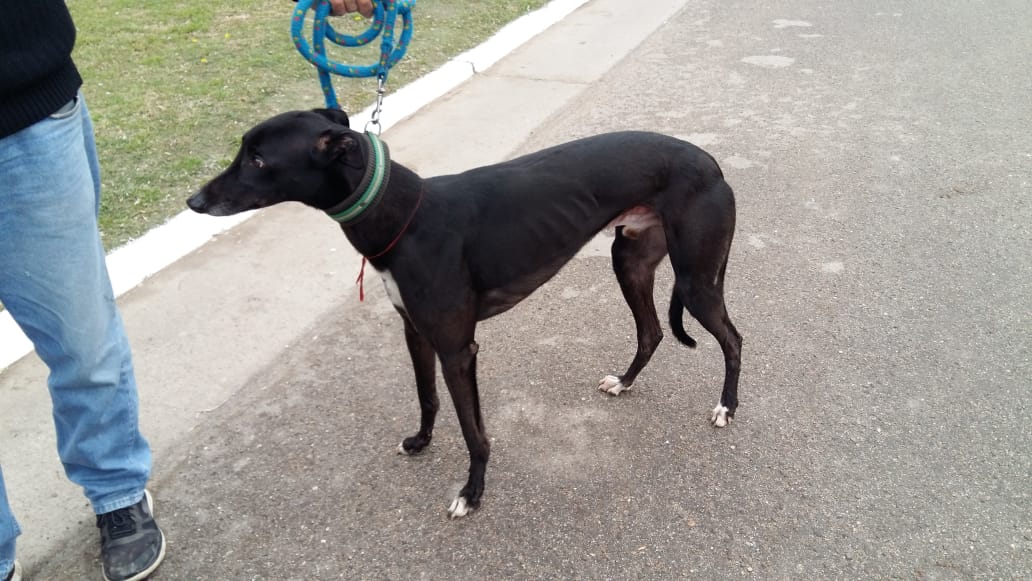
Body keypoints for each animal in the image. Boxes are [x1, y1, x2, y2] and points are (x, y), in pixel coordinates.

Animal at [189, 107, 743, 518]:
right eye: (245, 150)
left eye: (258, 160)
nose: (194, 201)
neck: (402, 214)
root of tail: (709, 161)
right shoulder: (415, 332)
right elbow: (427, 398)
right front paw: (420, 441)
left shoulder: (458, 347)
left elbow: (474, 431)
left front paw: (471, 494)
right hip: (630, 262)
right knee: (651, 332)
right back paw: (625, 382)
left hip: (695, 280)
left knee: (732, 339)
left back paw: (726, 407)